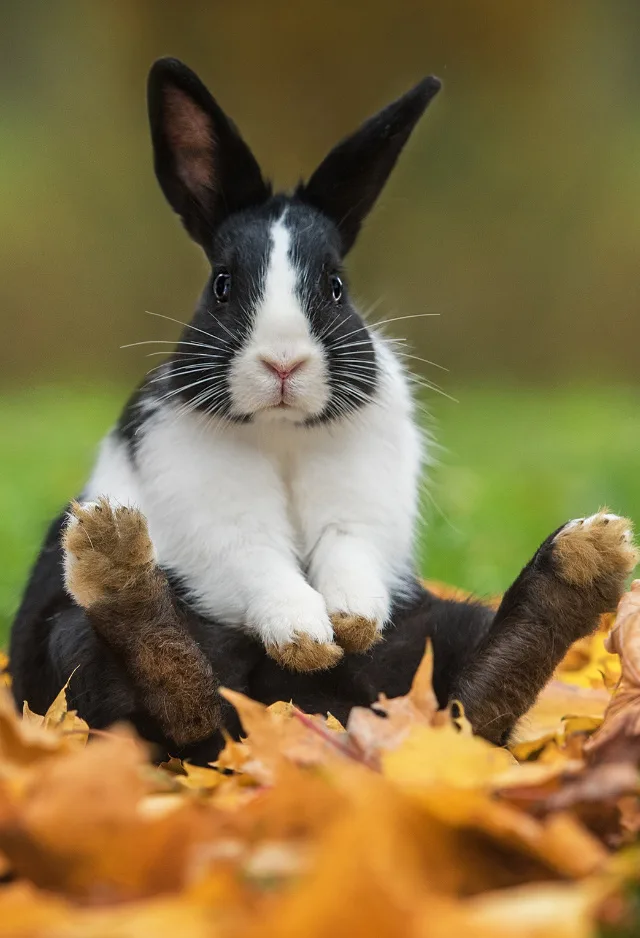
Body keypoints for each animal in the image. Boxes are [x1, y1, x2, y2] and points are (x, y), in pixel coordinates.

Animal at [10, 59, 639, 759]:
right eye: (222, 284)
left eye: (336, 286)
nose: (283, 363)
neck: (283, 432)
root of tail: (319, 715)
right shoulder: (218, 520)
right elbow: (260, 563)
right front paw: (307, 640)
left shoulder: (359, 511)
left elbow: (347, 550)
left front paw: (349, 624)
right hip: (73, 642)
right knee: (179, 705)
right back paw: (115, 556)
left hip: (438, 629)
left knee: (472, 707)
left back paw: (581, 563)